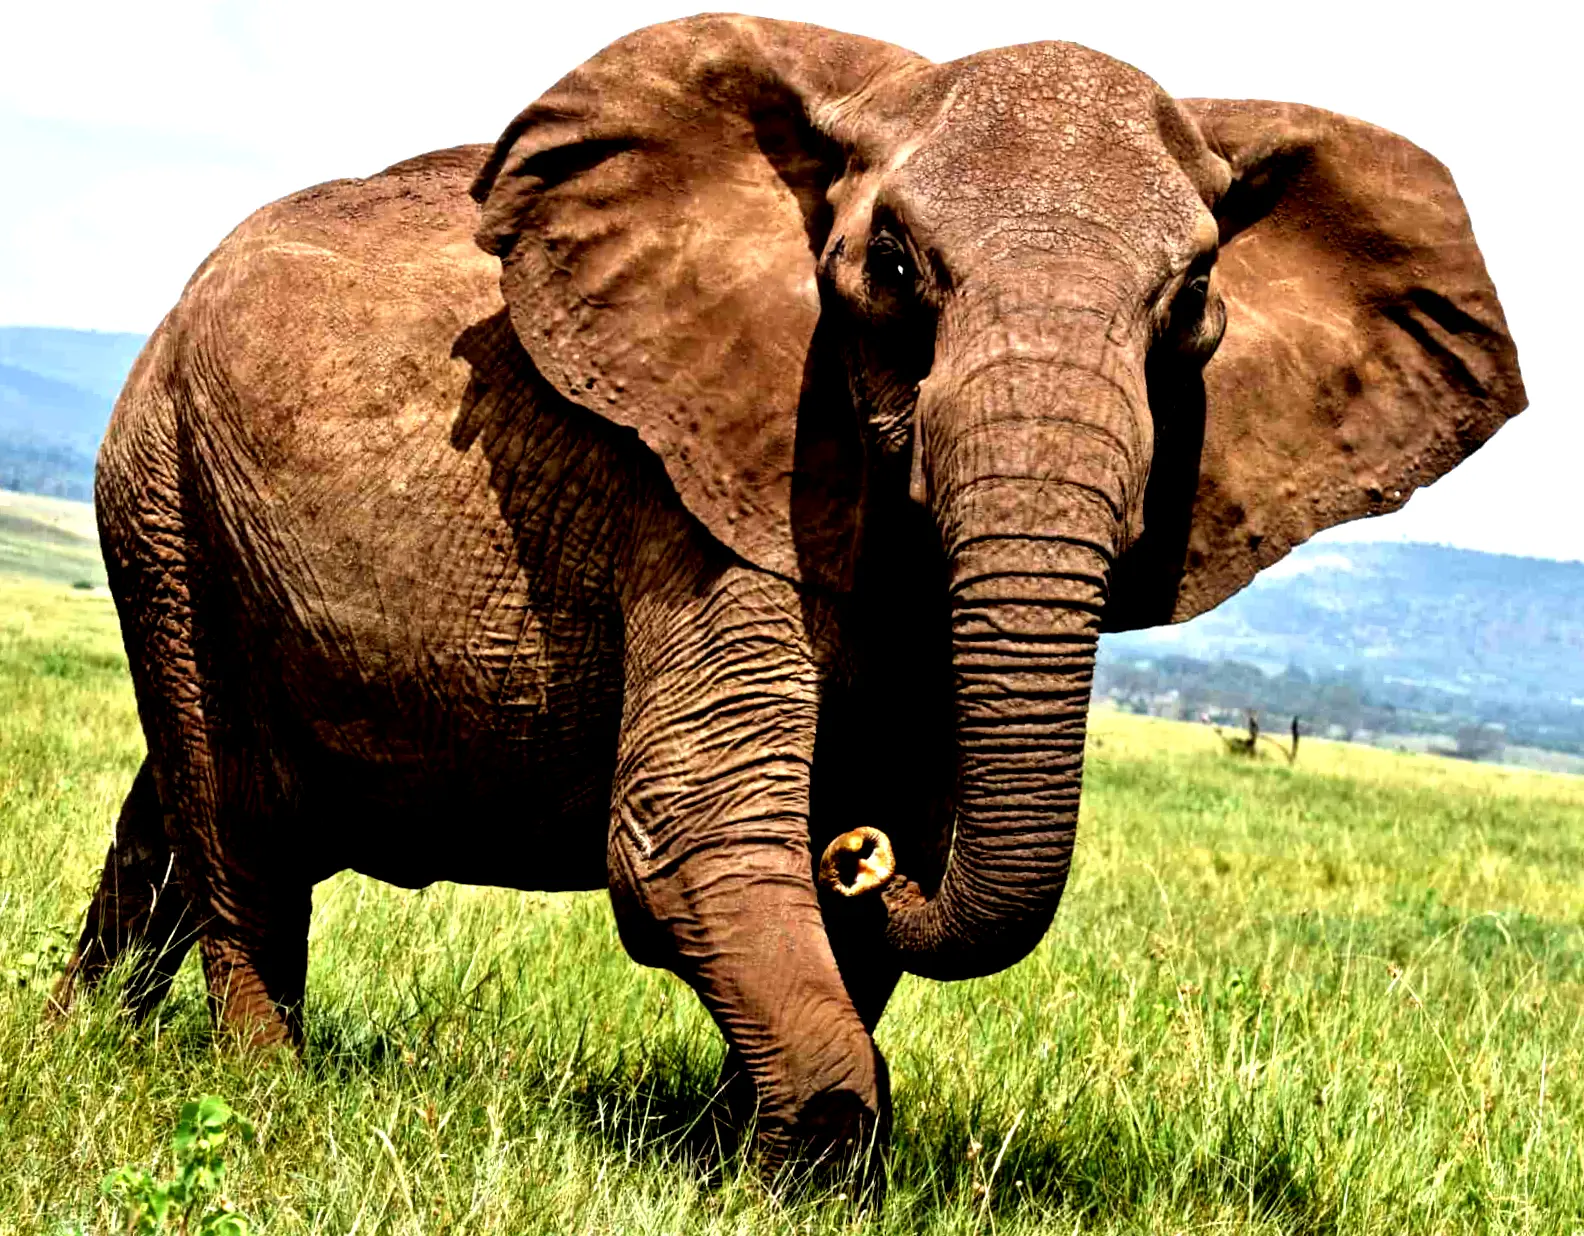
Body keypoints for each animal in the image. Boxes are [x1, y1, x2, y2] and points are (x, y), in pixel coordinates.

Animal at [54, 14, 1523, 1176]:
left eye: (1198, 292)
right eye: (898, 271)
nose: (856, 851)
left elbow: (860, 903)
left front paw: (735, 1167)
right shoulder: (709, 488)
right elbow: (689, 828)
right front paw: (798, 1161)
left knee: (170, 813)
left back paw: (80, 1043)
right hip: (162, 493)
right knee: (236, 817)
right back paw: (263, 1094)